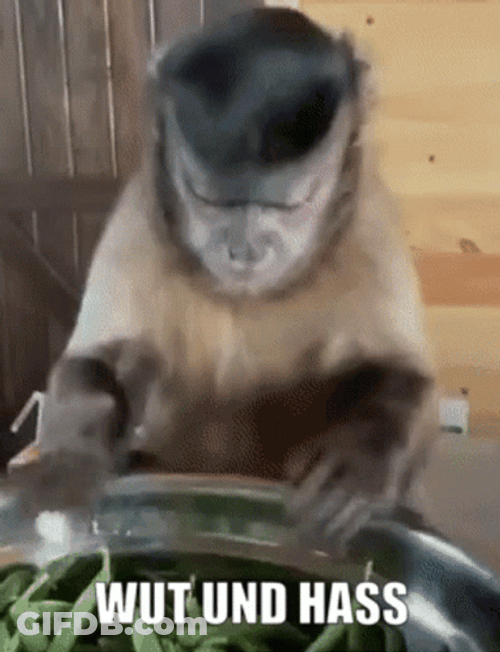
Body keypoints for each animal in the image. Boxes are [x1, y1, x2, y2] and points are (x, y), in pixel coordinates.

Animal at [9, 8, 437, 552]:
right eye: (207, 200)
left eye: (291, 205)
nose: (245, 249)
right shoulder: (139, 216)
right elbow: (89, 360)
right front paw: (73, 456)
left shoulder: (370, 224)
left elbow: (406, 376)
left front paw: (359, 457)